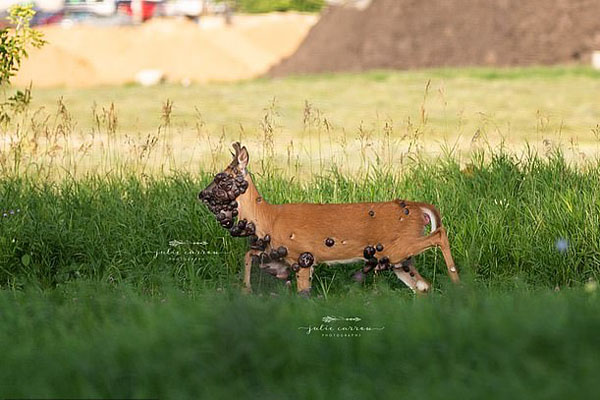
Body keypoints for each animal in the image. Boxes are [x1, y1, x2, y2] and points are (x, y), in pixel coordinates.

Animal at [199, 142, 462, 296]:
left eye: (221, 177)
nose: (201, 193)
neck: (270, 218)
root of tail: (419, 207)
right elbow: (248, 255)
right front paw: (245, 290)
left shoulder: (302, 254)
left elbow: (303, 295)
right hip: (397, 258)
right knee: (423, 286)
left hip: (397, 246)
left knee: (440, 235)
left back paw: (457, 284)